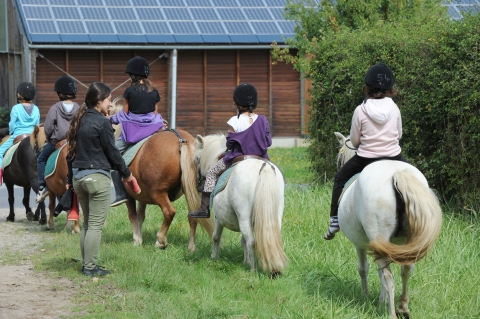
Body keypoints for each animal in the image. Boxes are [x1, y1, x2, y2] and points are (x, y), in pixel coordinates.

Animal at [194, 134, 286, 278]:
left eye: (197, 159)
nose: (197, 185)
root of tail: (264, 167)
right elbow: (243, 241)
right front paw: (245, 261)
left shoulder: (218, 217)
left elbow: (216, 237)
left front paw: (214, 257)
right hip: (275, 216)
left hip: (244, 217)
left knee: (252, 242)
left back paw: (253, 270)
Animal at [332, 132, 440, 319]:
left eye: (340, 157)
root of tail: (397, 174)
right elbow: (379, 271)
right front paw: (380, 302)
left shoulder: (360, 244)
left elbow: (364, 269)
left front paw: (366, 298)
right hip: (406, 241)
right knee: (406, 269)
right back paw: (403, 307)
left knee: (389, 277)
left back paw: (391, 313)